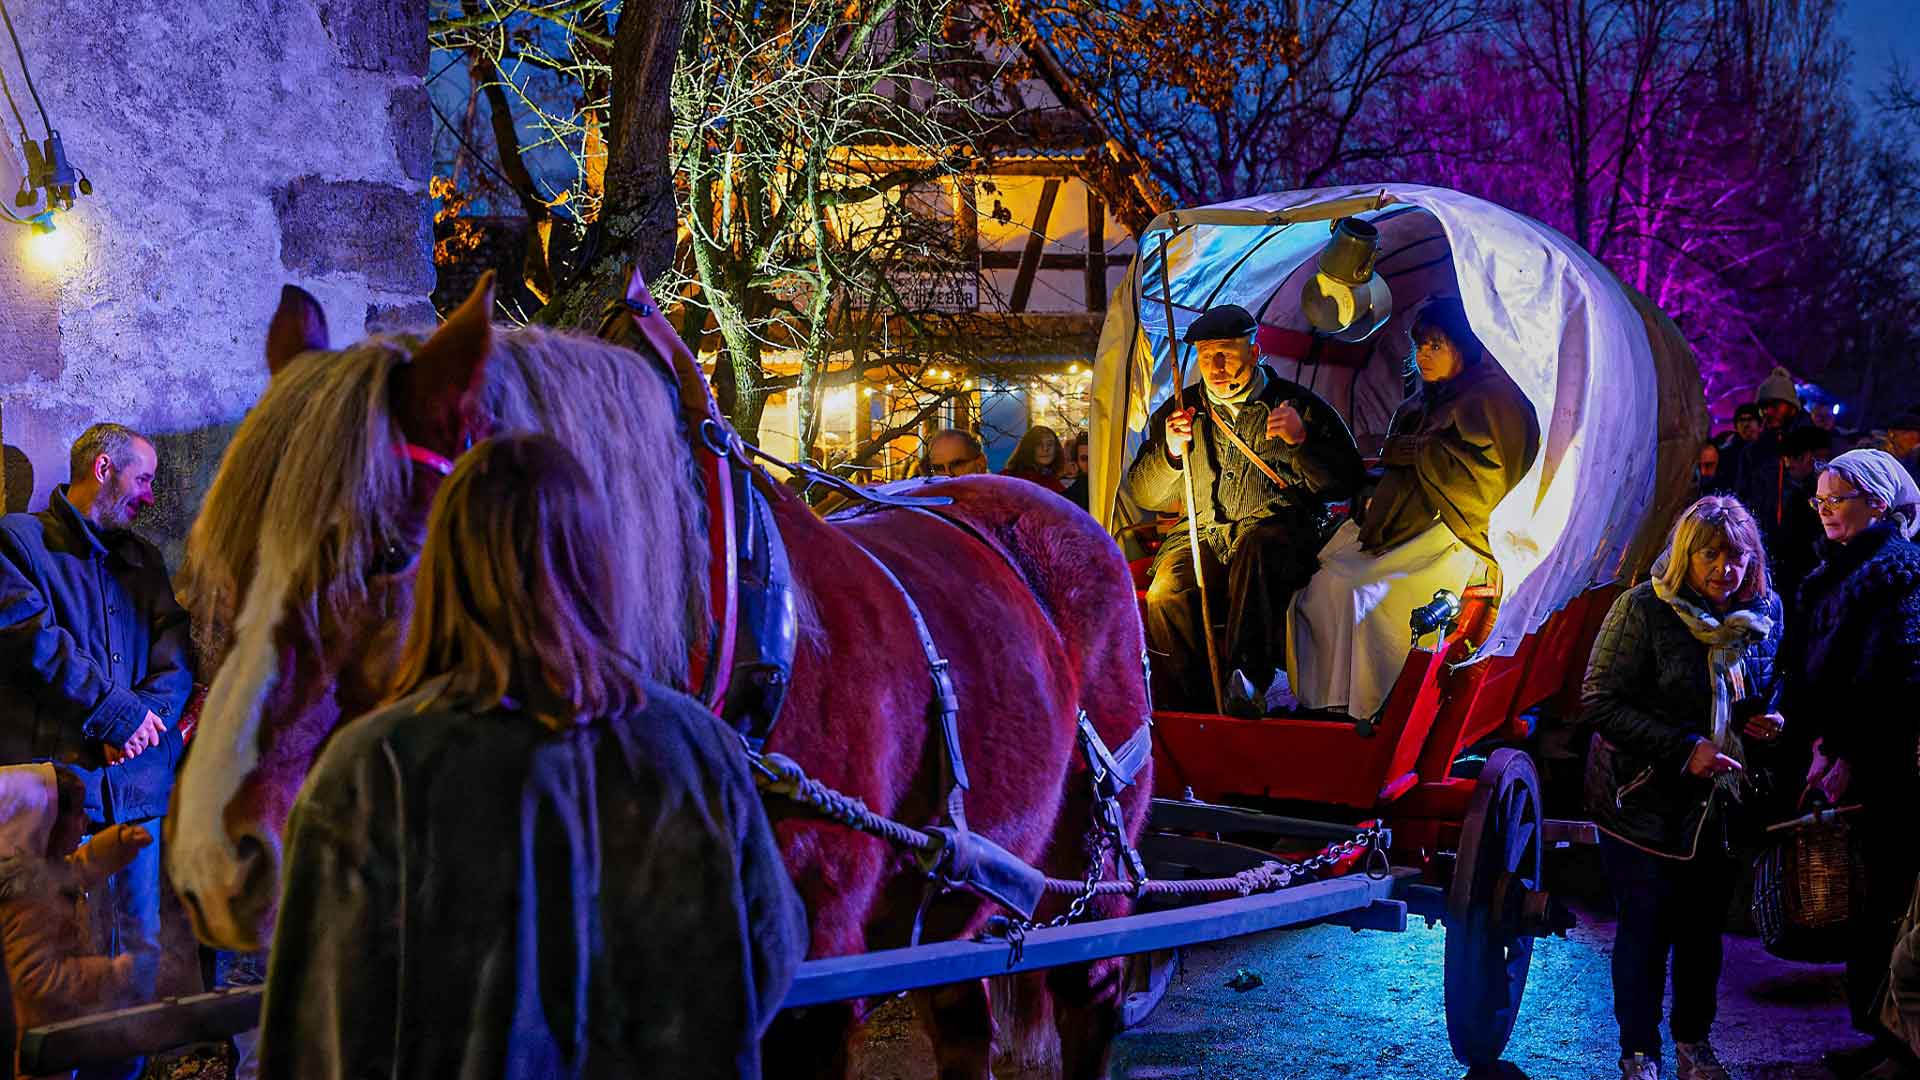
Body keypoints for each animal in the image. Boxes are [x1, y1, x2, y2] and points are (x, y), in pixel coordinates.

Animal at [161, 272, 1152, 1068]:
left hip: (1094, 880)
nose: (213, 863)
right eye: (218, 565)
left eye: (391, 555)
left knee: (1090, 1005)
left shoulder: (814, 996)